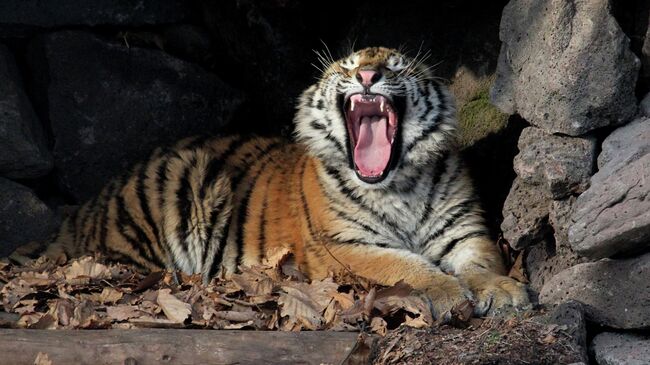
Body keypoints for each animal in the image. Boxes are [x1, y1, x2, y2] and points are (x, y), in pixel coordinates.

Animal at [12, 47, 528, 318]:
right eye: (347, 66)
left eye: (397, 66)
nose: (367, 73)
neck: (399, 182)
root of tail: (85, 207)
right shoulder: (345, 246)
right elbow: (406, 265)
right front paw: (447, 293)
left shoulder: (465, 232)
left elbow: (480, 264)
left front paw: (504, 292)